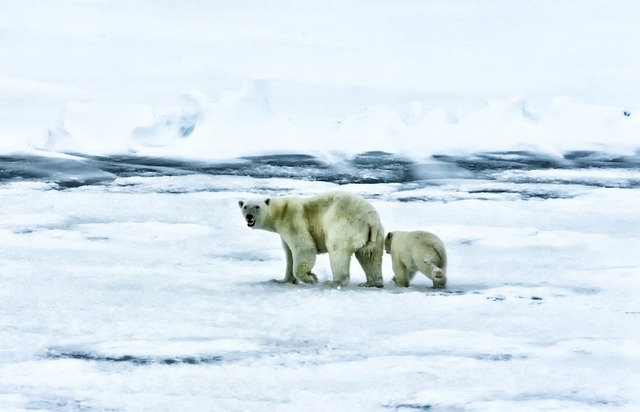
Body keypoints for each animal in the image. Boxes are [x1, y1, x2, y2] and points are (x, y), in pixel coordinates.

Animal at [238, 192, 382, 288]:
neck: (281, 210)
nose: (249, 216)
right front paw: (283, 280)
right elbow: (289, 253)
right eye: (245, 206)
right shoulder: (283, 232)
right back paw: (371, 283)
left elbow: (304, 247)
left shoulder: (292, 221)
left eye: (257, 206)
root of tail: (371, 220)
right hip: (375, 234)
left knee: (337, 251)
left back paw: (333, 282)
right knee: (370, 256)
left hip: (344, 225)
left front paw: (311, 278)